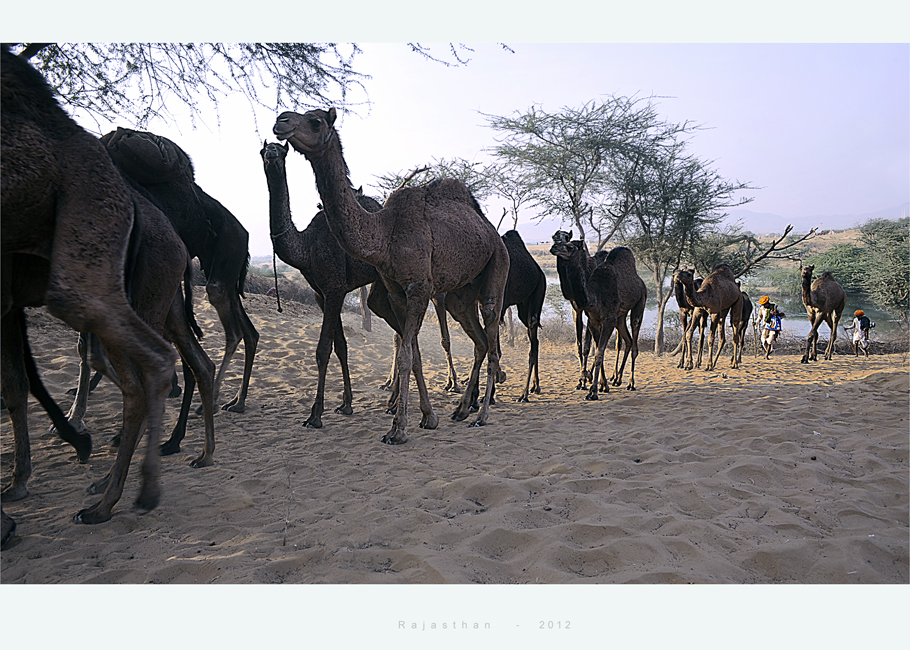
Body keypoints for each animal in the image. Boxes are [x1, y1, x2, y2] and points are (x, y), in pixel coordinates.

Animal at [0, 49, 181, 528]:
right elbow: (15, 384)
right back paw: (108, 484)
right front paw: (17, 482)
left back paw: (125, 494)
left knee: (150, 365)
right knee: (132, 371)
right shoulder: (6, 306)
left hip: (87, 272)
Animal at [103, 125, 260, 410]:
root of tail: (245, 234)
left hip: (225, 259)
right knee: (248, 331)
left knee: (232, 326)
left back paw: (216, 400)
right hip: (222, 270)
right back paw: (234, 400)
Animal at [270, 109, 512, 442]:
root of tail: (491, 232)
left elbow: (407, 353)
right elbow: (413, 353)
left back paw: (482, 414)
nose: (281, 121)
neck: (385, 232)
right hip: (460, 295)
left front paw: (398, 429)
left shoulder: (418, 287)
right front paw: (427, 417)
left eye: (315, 121)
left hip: (496, 269)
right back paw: (462, 409)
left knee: (491, 334)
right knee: (480, 342)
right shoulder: (397, 290)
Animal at [544, 238, 624, 400]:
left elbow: (589, 346)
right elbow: (581, 344)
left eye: (569, 246)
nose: (554, 247)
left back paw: (614, 378)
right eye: (556, 237)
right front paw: (583, 380)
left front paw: (595, 383)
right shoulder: (578, 310)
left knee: (621, 341)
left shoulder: (592, 314)